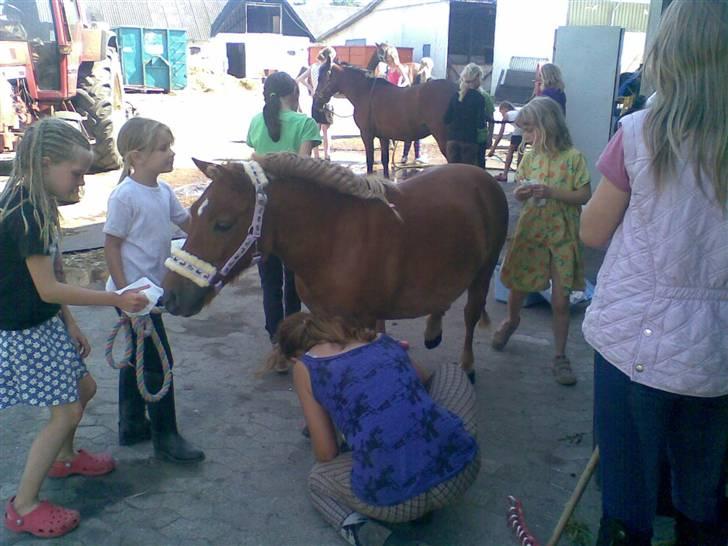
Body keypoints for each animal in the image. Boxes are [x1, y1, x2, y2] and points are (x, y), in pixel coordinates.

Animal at [164, 151, 506, 376]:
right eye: (192, 213)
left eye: (222, 224)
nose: (171, 296)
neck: (334, 238)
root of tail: (483, 177)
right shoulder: (323, 316)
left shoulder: (363, 321)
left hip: (483, 274)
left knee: (471, 314)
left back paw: (468, 366)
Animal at [312, 55, 456, 175]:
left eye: (321, 78)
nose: (316, 103)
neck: (364, 93)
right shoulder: (383, 137)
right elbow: (385, 160)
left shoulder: (367, 135)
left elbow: (370, 161)